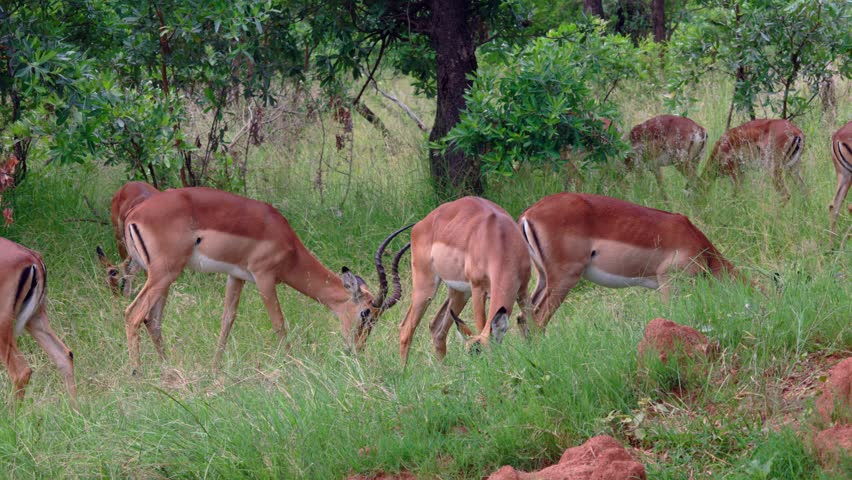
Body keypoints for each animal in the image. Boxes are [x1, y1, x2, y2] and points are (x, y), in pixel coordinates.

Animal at [121, 187, 407, 372]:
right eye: (366, 313)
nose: (357, 350)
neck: (286, 241)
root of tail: (134, 215)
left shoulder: (235, 276)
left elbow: (227, 321)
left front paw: (214, 370)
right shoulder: (264, 277)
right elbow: (279, 323)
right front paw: (293, 366)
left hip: (164, 278)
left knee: (153, 320)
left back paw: (168, 369)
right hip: (164, 274)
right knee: (133, 314)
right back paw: (137, 375)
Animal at [388, 197, 533, 365]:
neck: (499, 239)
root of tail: (421, 224)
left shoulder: (523, 288)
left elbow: (534, 323)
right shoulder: (478, 289)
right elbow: (481, 325)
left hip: (459, 292)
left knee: (437, 329)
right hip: (425, 288)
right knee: (406, 328)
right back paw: (403, 369)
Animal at [518, 193, 737, 329]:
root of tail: (528, 215)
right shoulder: (668, 282)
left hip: (543, 277)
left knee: (523, 318)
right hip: (564, 278)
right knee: (538, 319)